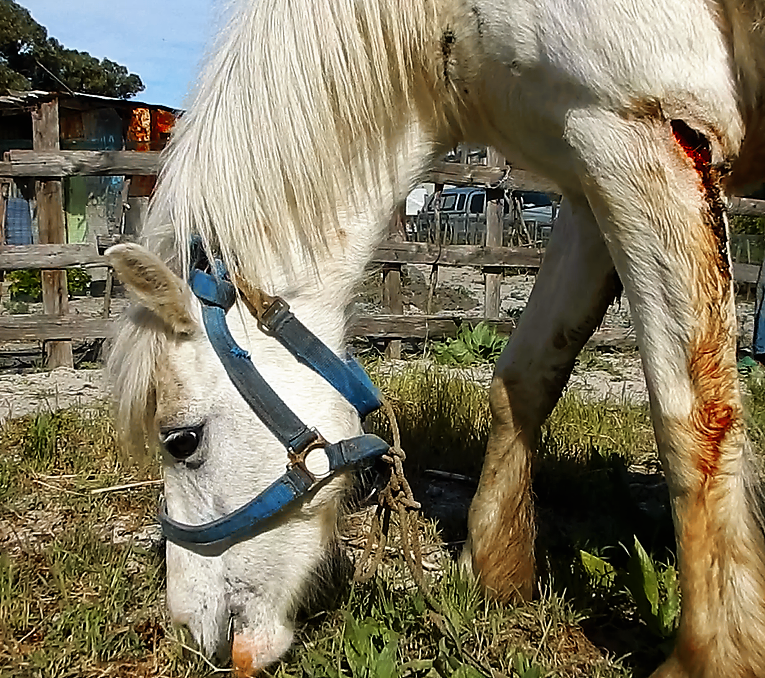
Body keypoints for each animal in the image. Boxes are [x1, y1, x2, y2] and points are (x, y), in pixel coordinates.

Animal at [106, 0, 764, 676]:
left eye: (182, 441)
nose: (192, 630)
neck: (447, 21)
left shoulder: (646, 134)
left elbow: (692, 418)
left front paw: (714, 655)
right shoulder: (587, 185)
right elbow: (522, 380)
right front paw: (493, 573)